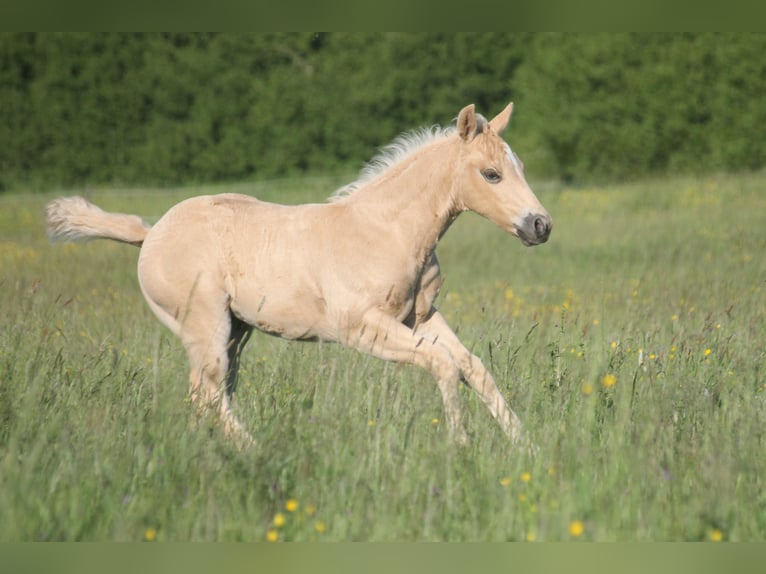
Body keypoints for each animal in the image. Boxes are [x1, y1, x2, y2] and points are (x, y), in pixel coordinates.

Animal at [46, 102, 552, 447]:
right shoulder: (362, 328)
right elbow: (444, 365)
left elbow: (473, 367)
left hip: (235, 332)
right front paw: (460, 446)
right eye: (491, 174)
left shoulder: (421, 318)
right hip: (204, 327)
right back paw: (256, 452)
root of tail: (151, 233)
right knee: (209, 395)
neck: (386, 231)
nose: (540, 226)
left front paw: (525, 447)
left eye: (521, 167)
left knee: (206, 395)